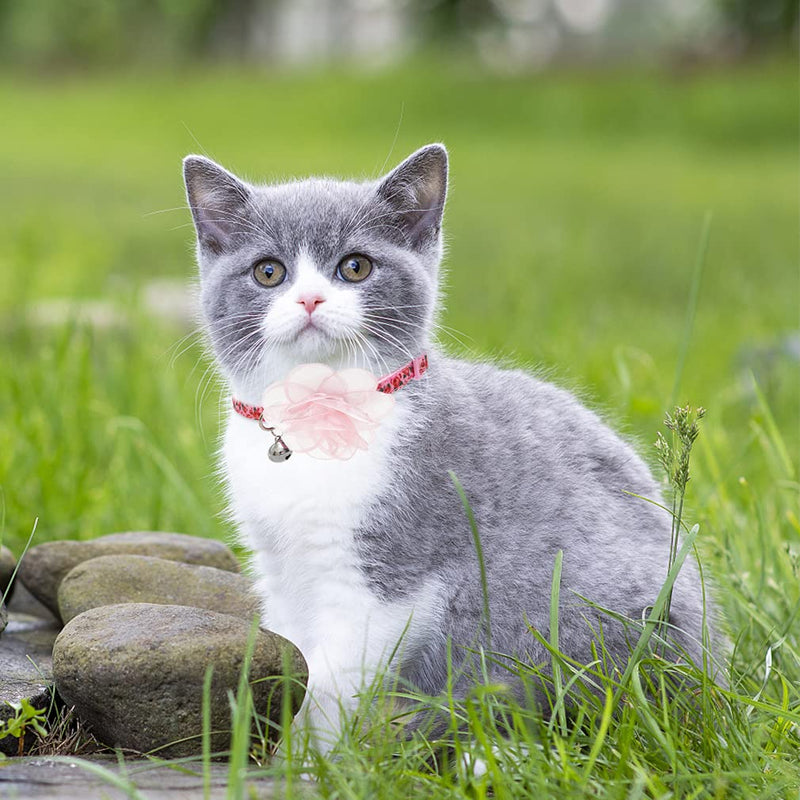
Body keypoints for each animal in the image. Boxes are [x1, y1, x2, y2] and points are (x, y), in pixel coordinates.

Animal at [184, 144, 720, 752]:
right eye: (268, 272)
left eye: (355, 267)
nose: (311, 297)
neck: (314, 418)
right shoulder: (277, 565)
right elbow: (290, 649)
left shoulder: (393, 570)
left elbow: (332, 678)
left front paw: (319, 759)